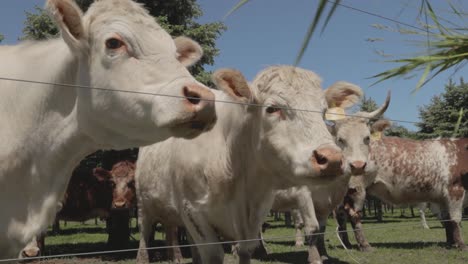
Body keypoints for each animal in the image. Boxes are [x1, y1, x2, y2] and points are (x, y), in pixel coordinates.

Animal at [338, 124, 468, 252]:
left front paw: (451, 243)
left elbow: (447, 219)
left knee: (341, 215)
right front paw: (461, 245)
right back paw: (365, 246)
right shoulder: (455, 189)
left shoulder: (442, 198)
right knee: (353, 215)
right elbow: (455, 218)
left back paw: (347, 244)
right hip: (356, 188)